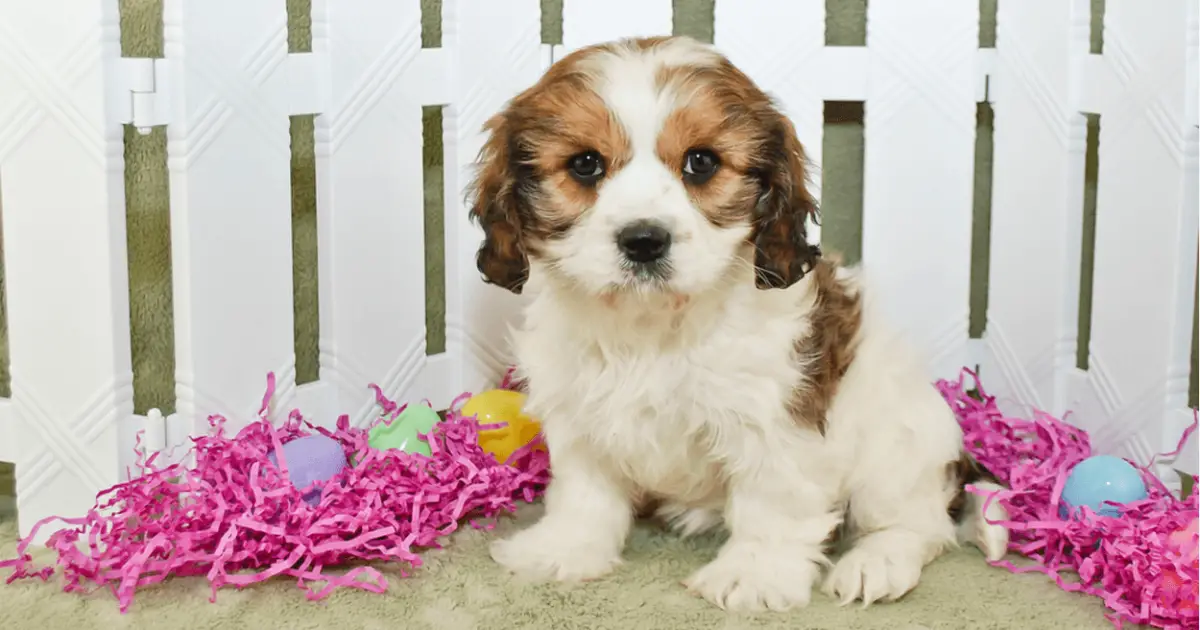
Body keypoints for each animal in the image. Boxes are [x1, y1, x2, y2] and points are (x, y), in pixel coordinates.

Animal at [463, 34, 1008, 609]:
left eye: (701, 163)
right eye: (585, 164)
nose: (644, 240)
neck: (654, 326)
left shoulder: (775, 417)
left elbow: (771, 501)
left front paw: (754, 574)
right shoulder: (578, 409)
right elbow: (585, 490)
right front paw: (567, 549)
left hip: (895, 448)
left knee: (920, 524)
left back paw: (876, 563)